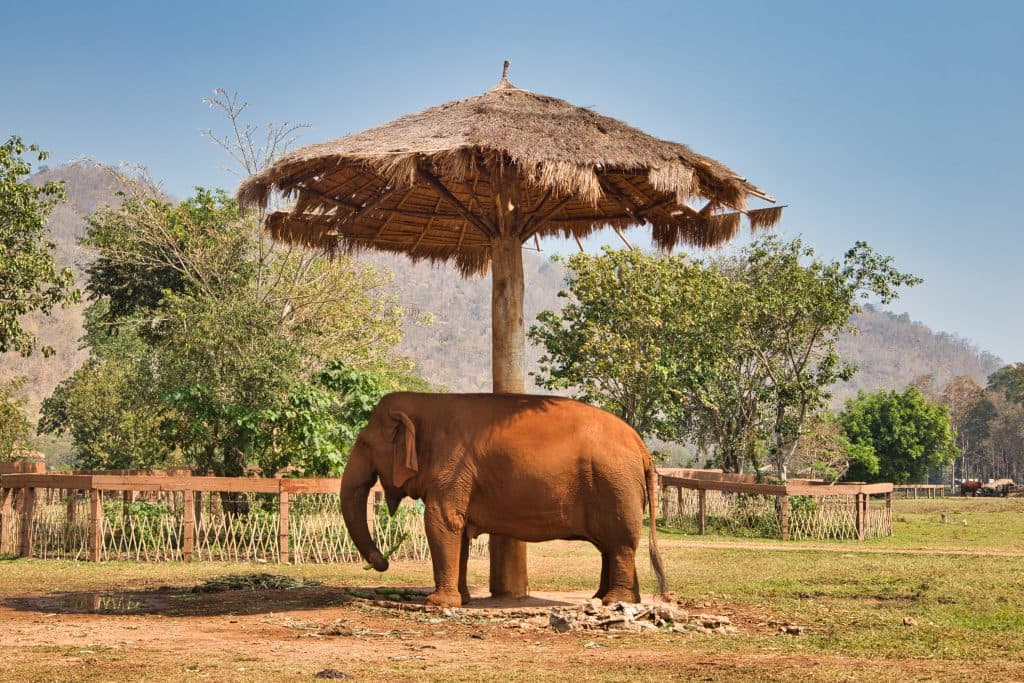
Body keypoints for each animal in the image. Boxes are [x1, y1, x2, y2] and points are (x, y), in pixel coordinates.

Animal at [340, 392, 668, 608]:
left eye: (365, 444)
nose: (382, 563)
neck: (425, 403)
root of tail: (640, 444)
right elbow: (457, 530)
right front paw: (462, 599)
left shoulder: (452, 466)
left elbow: (440, 522)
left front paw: (437, 603)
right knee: (610, 546)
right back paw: (613, 599)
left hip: (615, 485)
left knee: (619, 543)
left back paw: (614, 601)